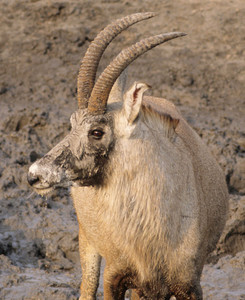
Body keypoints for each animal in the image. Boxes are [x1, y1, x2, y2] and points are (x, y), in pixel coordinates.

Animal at [27, 12, 229, 300]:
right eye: (72, 123)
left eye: (97, 131)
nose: (34, 174)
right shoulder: (115, 276)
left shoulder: (189, 284)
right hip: (89, 243)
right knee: (87, 287)